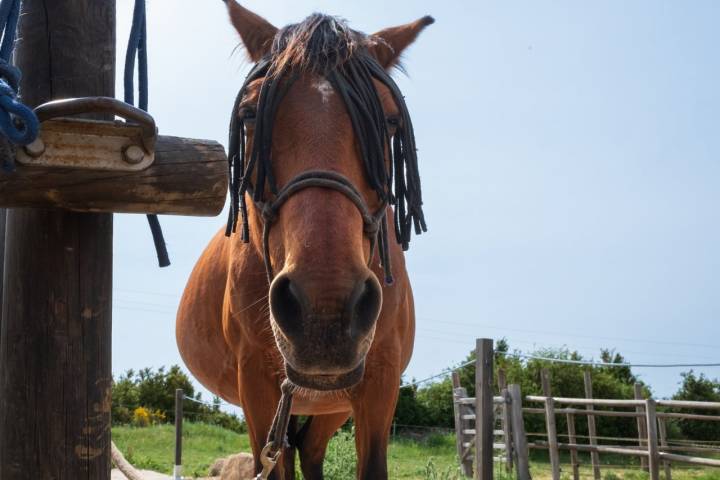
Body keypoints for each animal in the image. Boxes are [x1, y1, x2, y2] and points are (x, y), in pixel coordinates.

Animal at [176, 1, 430, 478]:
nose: (324, 312)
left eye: (388, 121)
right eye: (251, 115)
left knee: (308, 450)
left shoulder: (380, 383)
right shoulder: (258, 386)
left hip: (330, 406)